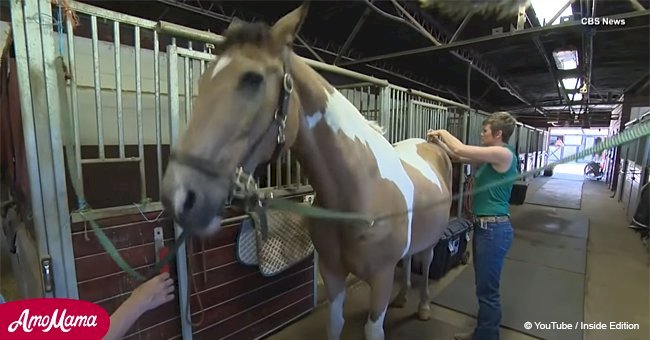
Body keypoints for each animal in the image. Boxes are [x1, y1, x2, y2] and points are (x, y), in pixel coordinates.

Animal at [158, 3, 450, 340]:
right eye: (203, 81)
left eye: (253, 79)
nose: (178, 194)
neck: (362, 192)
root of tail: (429, 144)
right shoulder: (332, 272)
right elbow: (334, 323)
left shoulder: (380, 278)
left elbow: (373, 328)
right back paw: (402, 297)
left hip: (430, 242)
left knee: (426, 263)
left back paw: (424, 307)